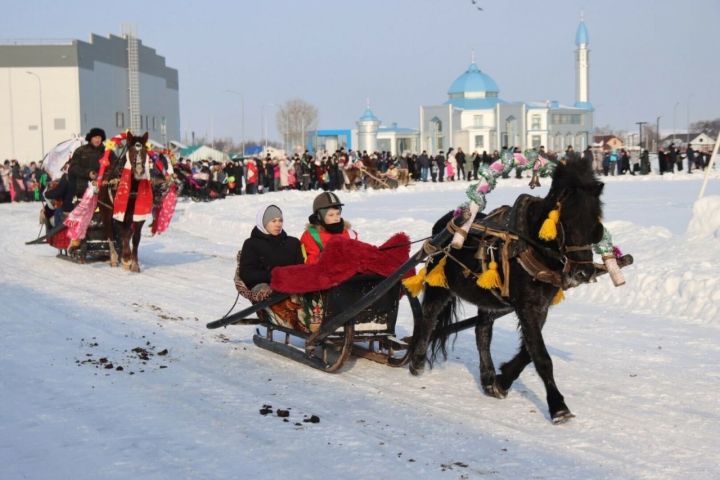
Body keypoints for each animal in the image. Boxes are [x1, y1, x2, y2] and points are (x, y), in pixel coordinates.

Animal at [98, 131, 150, 272]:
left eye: (144, 151)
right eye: (131, 151)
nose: (139, 171)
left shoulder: (138, 216)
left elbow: (135, 238)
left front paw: (134, 264)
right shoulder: (119, 214)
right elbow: (123, 235)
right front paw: (126, 257)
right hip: (106, 212)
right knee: (110, 234)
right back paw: (114, 258)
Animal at [408, 159, 604, 422]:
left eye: (595, 224)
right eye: (568, 223)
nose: (584, 273)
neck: (532, 245)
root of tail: (444, 223)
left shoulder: (540, 307)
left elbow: (529, 351)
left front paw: (502, 380)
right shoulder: (526, 305)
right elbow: (541, 356)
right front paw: (558, 406)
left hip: (487, 299)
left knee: (482, 333)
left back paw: (488, 377)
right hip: (439, 285)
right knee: (429, 316)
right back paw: (417, 361)